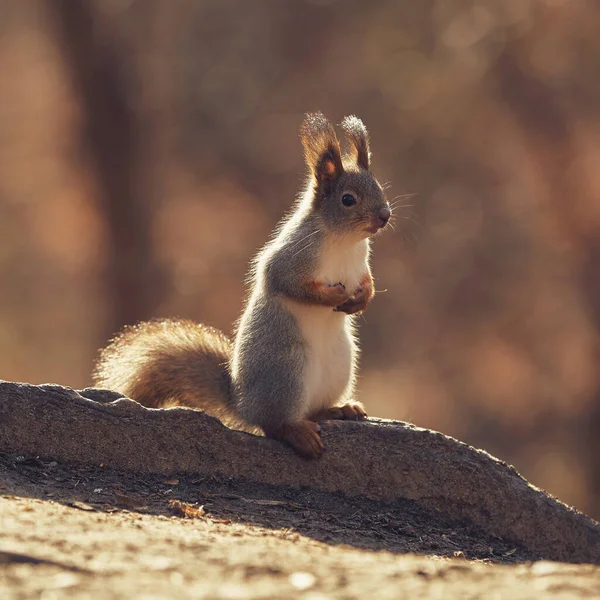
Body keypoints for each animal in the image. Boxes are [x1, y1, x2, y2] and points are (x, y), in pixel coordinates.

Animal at [93, 113, 392, 460]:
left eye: (379, 187)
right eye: (348, 200)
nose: (385, 216)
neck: (345, 242)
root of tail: (242, 404)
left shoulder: (361, 265)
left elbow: (368, 282)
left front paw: (362, 298)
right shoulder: (290, 258)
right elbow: (290, 284)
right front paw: (336, 294)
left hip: (340, 366)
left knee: (313, 411)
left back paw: (340, 409)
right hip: (287, 370)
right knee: (274, 424)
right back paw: (299, 433)